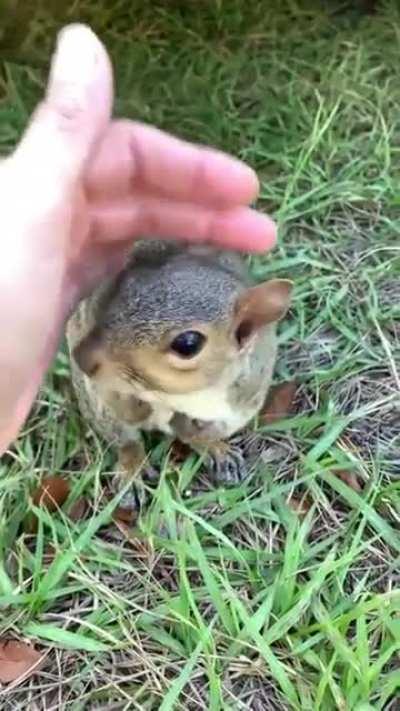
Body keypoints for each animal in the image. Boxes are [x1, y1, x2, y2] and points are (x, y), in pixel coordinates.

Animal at [67, 240, 292, 509]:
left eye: (188, 344)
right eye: (116, 293)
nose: (81, 356)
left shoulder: (243, 398)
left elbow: (196, 430)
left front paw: (209, 443)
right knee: (125, 440)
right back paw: (131, 473)